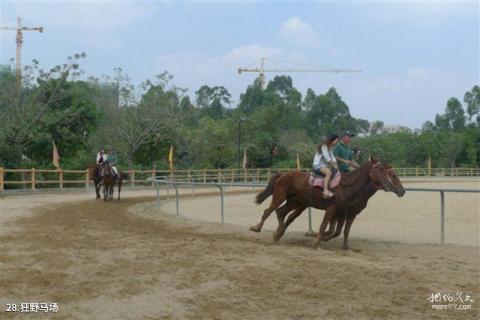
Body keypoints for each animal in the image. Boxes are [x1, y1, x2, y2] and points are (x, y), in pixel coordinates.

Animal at [249, 159, 396, 249]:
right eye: (380, 169)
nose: (389, 185)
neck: (345, 186)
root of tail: (283, 175)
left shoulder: (341, 212)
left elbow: (337, 230)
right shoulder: (332, 209)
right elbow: (324, 226)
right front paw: (316, 244)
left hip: (295, 202)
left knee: (281, 212)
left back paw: (277, 234)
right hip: (280, 197)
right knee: (268, 211)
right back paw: (256, 228)